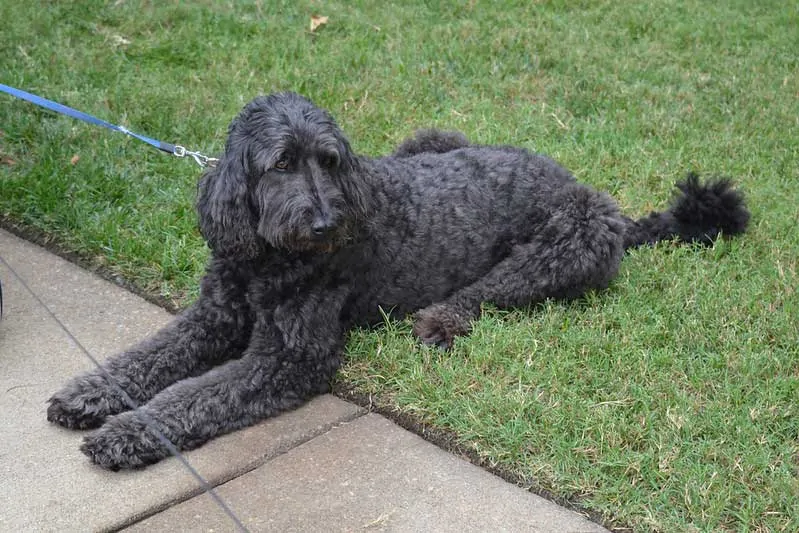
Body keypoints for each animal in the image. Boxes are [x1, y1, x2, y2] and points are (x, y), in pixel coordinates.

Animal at [48, 93, 752, 468]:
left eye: (330, 161)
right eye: (281, 165)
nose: (325, 222)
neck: (269, 260)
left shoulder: (287, 358)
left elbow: (189, 396)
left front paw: (129, 433)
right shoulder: (212, 318)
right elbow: (146, 359)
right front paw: (91, 395)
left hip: (570, 238)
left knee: (489, 293)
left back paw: (440, 319)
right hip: (434, 138)